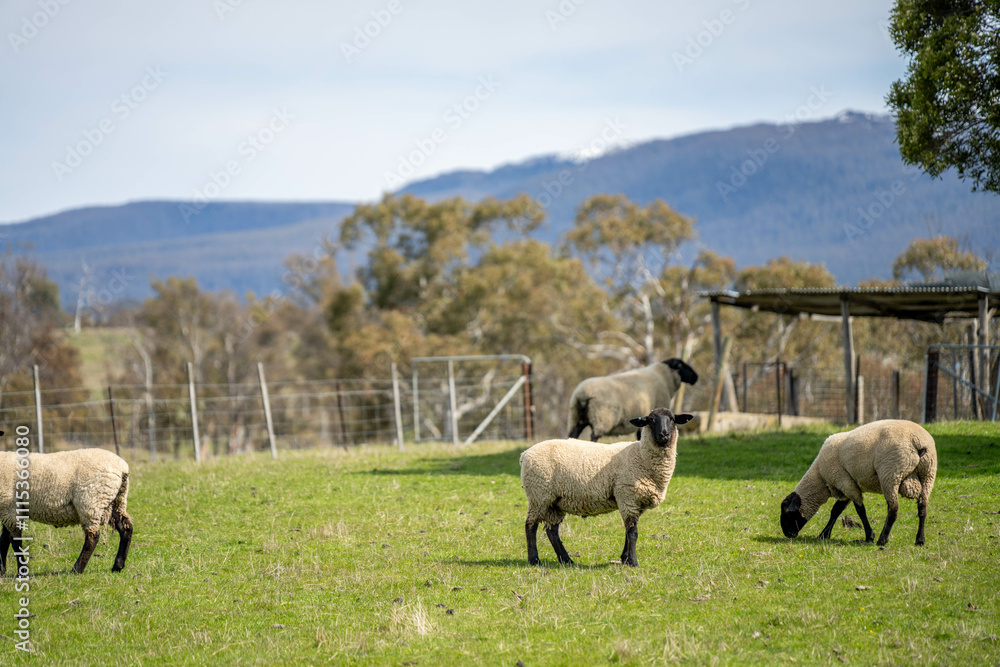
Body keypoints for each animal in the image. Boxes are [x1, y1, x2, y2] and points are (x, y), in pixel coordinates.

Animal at [0, 448, 133, 575]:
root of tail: (122, 467)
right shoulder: (6, 511)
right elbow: (4, 540)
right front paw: (2, 571)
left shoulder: (10, 508)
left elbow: (14, 542)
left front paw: (21, 571)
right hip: (115, 501)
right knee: (126, 528)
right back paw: (118, 566)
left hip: (91, 501)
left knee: (93, 537)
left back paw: (77, 569)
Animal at [521, 407, 693, 566]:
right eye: (651, 420)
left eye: (672, 419)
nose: (664, 435)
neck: (641, 456)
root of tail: (525, 453)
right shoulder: (627, 496)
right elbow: (633, 532)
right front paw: (633, 562)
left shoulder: (636, 502)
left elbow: (628, 532)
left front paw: (625, 559)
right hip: (539, 495)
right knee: (530, 525)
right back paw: (534, 560)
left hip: (555, 501)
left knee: (552, 531)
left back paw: (567, 560)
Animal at [567, 359, 698, 442]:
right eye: (681, 365)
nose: (695, 377)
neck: (663, 377)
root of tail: (582, 394)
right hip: (602, 418)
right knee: (594, 436)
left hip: (576, 418)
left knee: (572, 435)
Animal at [779, 419, 937, 547]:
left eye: (786, 512)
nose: (787, 534)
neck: (820, 478)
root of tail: (917, 442)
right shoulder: (848, 484)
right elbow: (836, 511)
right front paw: (823, 535)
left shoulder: (844, 482)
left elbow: (860, 510)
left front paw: (869, 537)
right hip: (928, 474)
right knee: (922, 508)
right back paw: (920, 540)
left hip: (891, 474)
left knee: (893, 509)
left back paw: (882, 540)